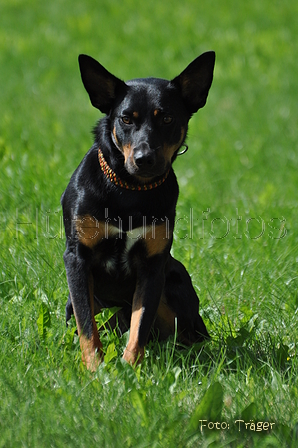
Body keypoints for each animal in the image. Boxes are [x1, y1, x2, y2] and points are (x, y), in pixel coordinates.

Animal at [61, 50, 214, 370]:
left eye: (167, 118)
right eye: (125, 119)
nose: (145, 159)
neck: (129, 191)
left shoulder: (153, 264)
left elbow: (139, 324)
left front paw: (130, 368)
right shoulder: (77, 258)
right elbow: (87, 325)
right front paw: (95, 370)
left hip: (176, 279)